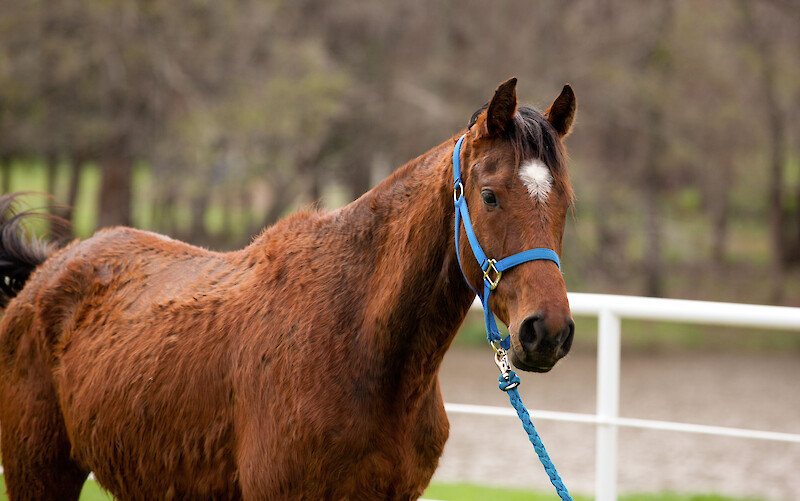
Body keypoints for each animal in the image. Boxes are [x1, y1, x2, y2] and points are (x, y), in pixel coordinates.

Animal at [0, 77, 576, 501]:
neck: (357, 344)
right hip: (39, 475)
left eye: (566, 203)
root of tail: (45, 272)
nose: (547, 332)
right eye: (490, 195)